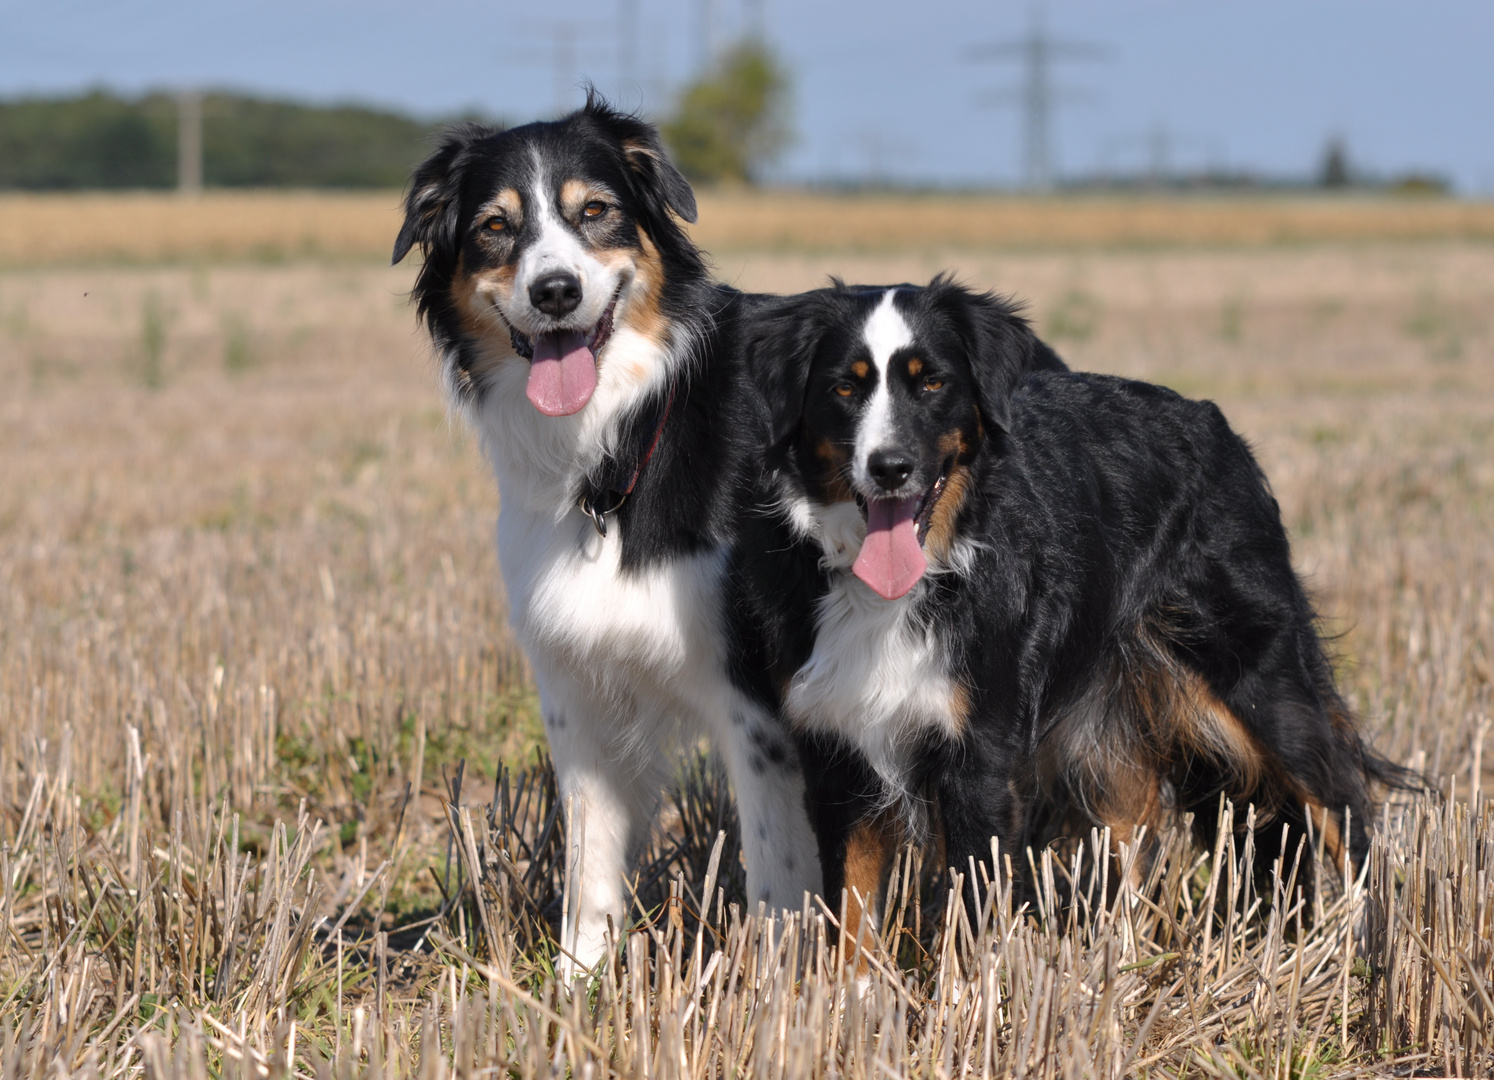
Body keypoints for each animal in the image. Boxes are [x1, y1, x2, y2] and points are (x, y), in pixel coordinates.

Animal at [391, 97, 830, 967]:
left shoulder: (755, 701)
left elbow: (776, 871)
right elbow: (588, 863)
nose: (556, 291)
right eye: (495, 227)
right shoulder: (577, 689)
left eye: (594, 211)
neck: (621, 439)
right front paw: (577, 981)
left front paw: (779, 985)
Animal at [729, 282, 1404, 932]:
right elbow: (848, 924)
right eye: (844, 386)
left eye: (933, 383)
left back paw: (1366, 945)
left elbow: (971, 919)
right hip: (1105, 734)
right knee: (1136, 841)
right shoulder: (839, 755)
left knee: (1343, 806)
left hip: (1258, 683)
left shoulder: (980, 757)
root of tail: (1213, 422)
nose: (890, 467)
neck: (896, 590)